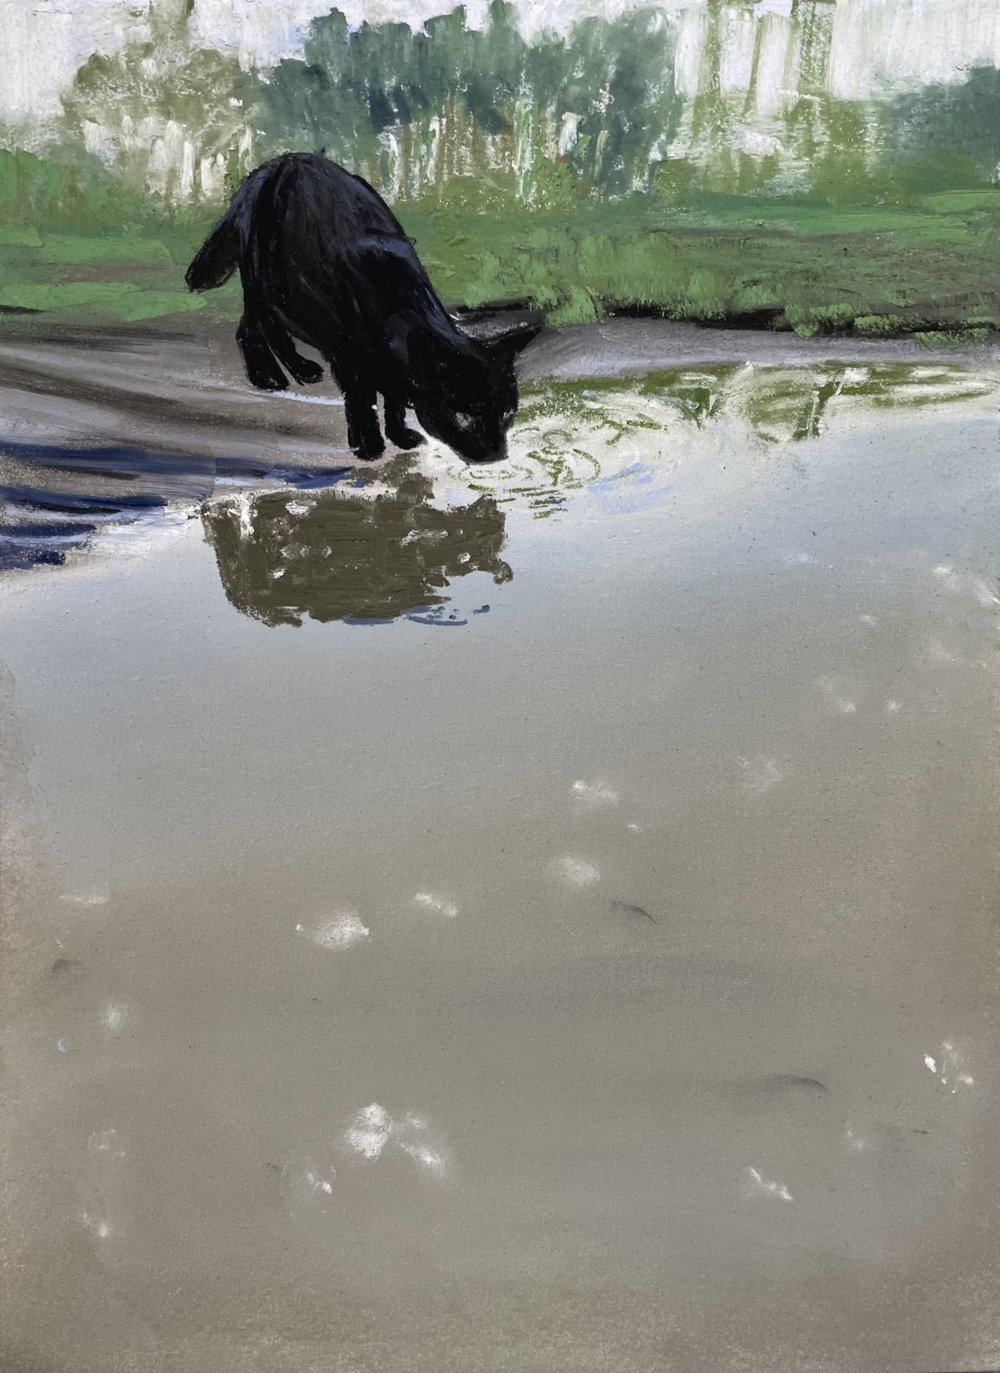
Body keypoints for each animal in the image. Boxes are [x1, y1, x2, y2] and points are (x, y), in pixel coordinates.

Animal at [181, 153, 538, 458]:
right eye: (464, 415)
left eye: (506, 414)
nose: (497, 452)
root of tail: (274, 165)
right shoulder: (347, 355)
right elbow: (362, 399)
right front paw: (368, 445)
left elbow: (393, 400)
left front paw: (400, 436)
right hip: (262, 283)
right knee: (251, 325)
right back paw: (266, 375)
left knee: (274, 326)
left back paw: (301, 368)